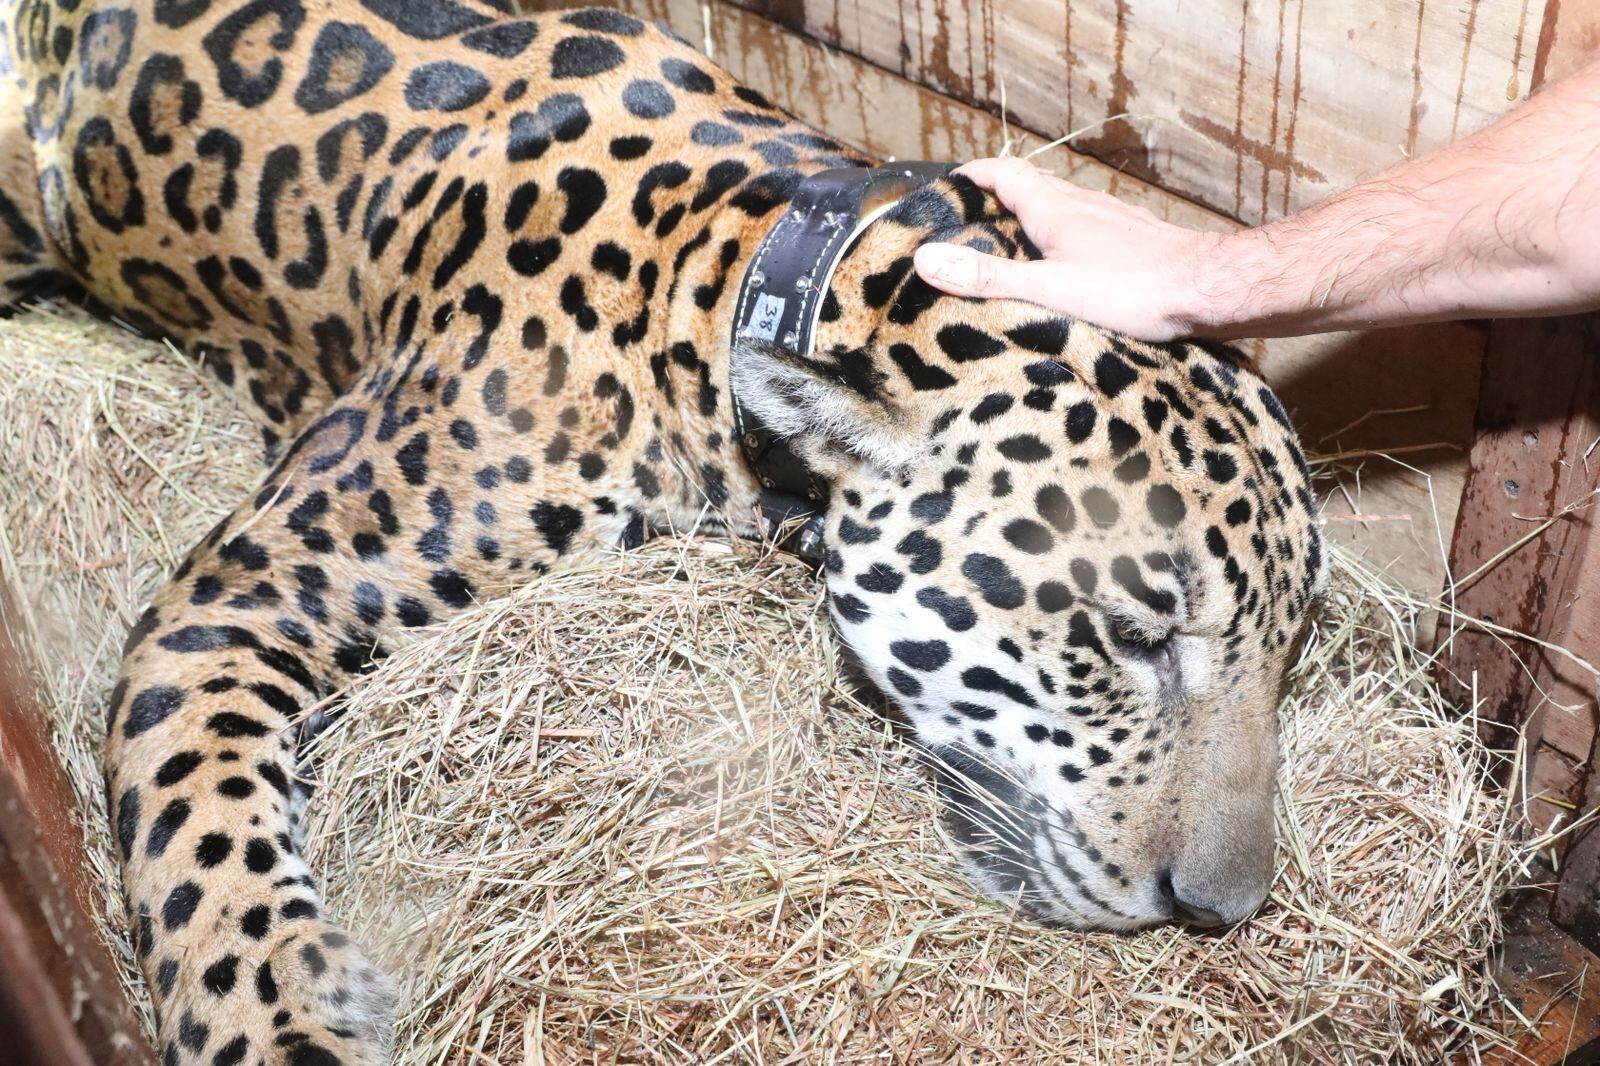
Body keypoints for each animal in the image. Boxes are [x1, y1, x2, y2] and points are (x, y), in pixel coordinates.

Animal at [0, 1, 1326, 1062]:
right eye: (1129, 638)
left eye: (1291, 651)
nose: (1220, 907)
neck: (720, 278)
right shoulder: (235, 602)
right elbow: (205, 842)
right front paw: (280, 1029)